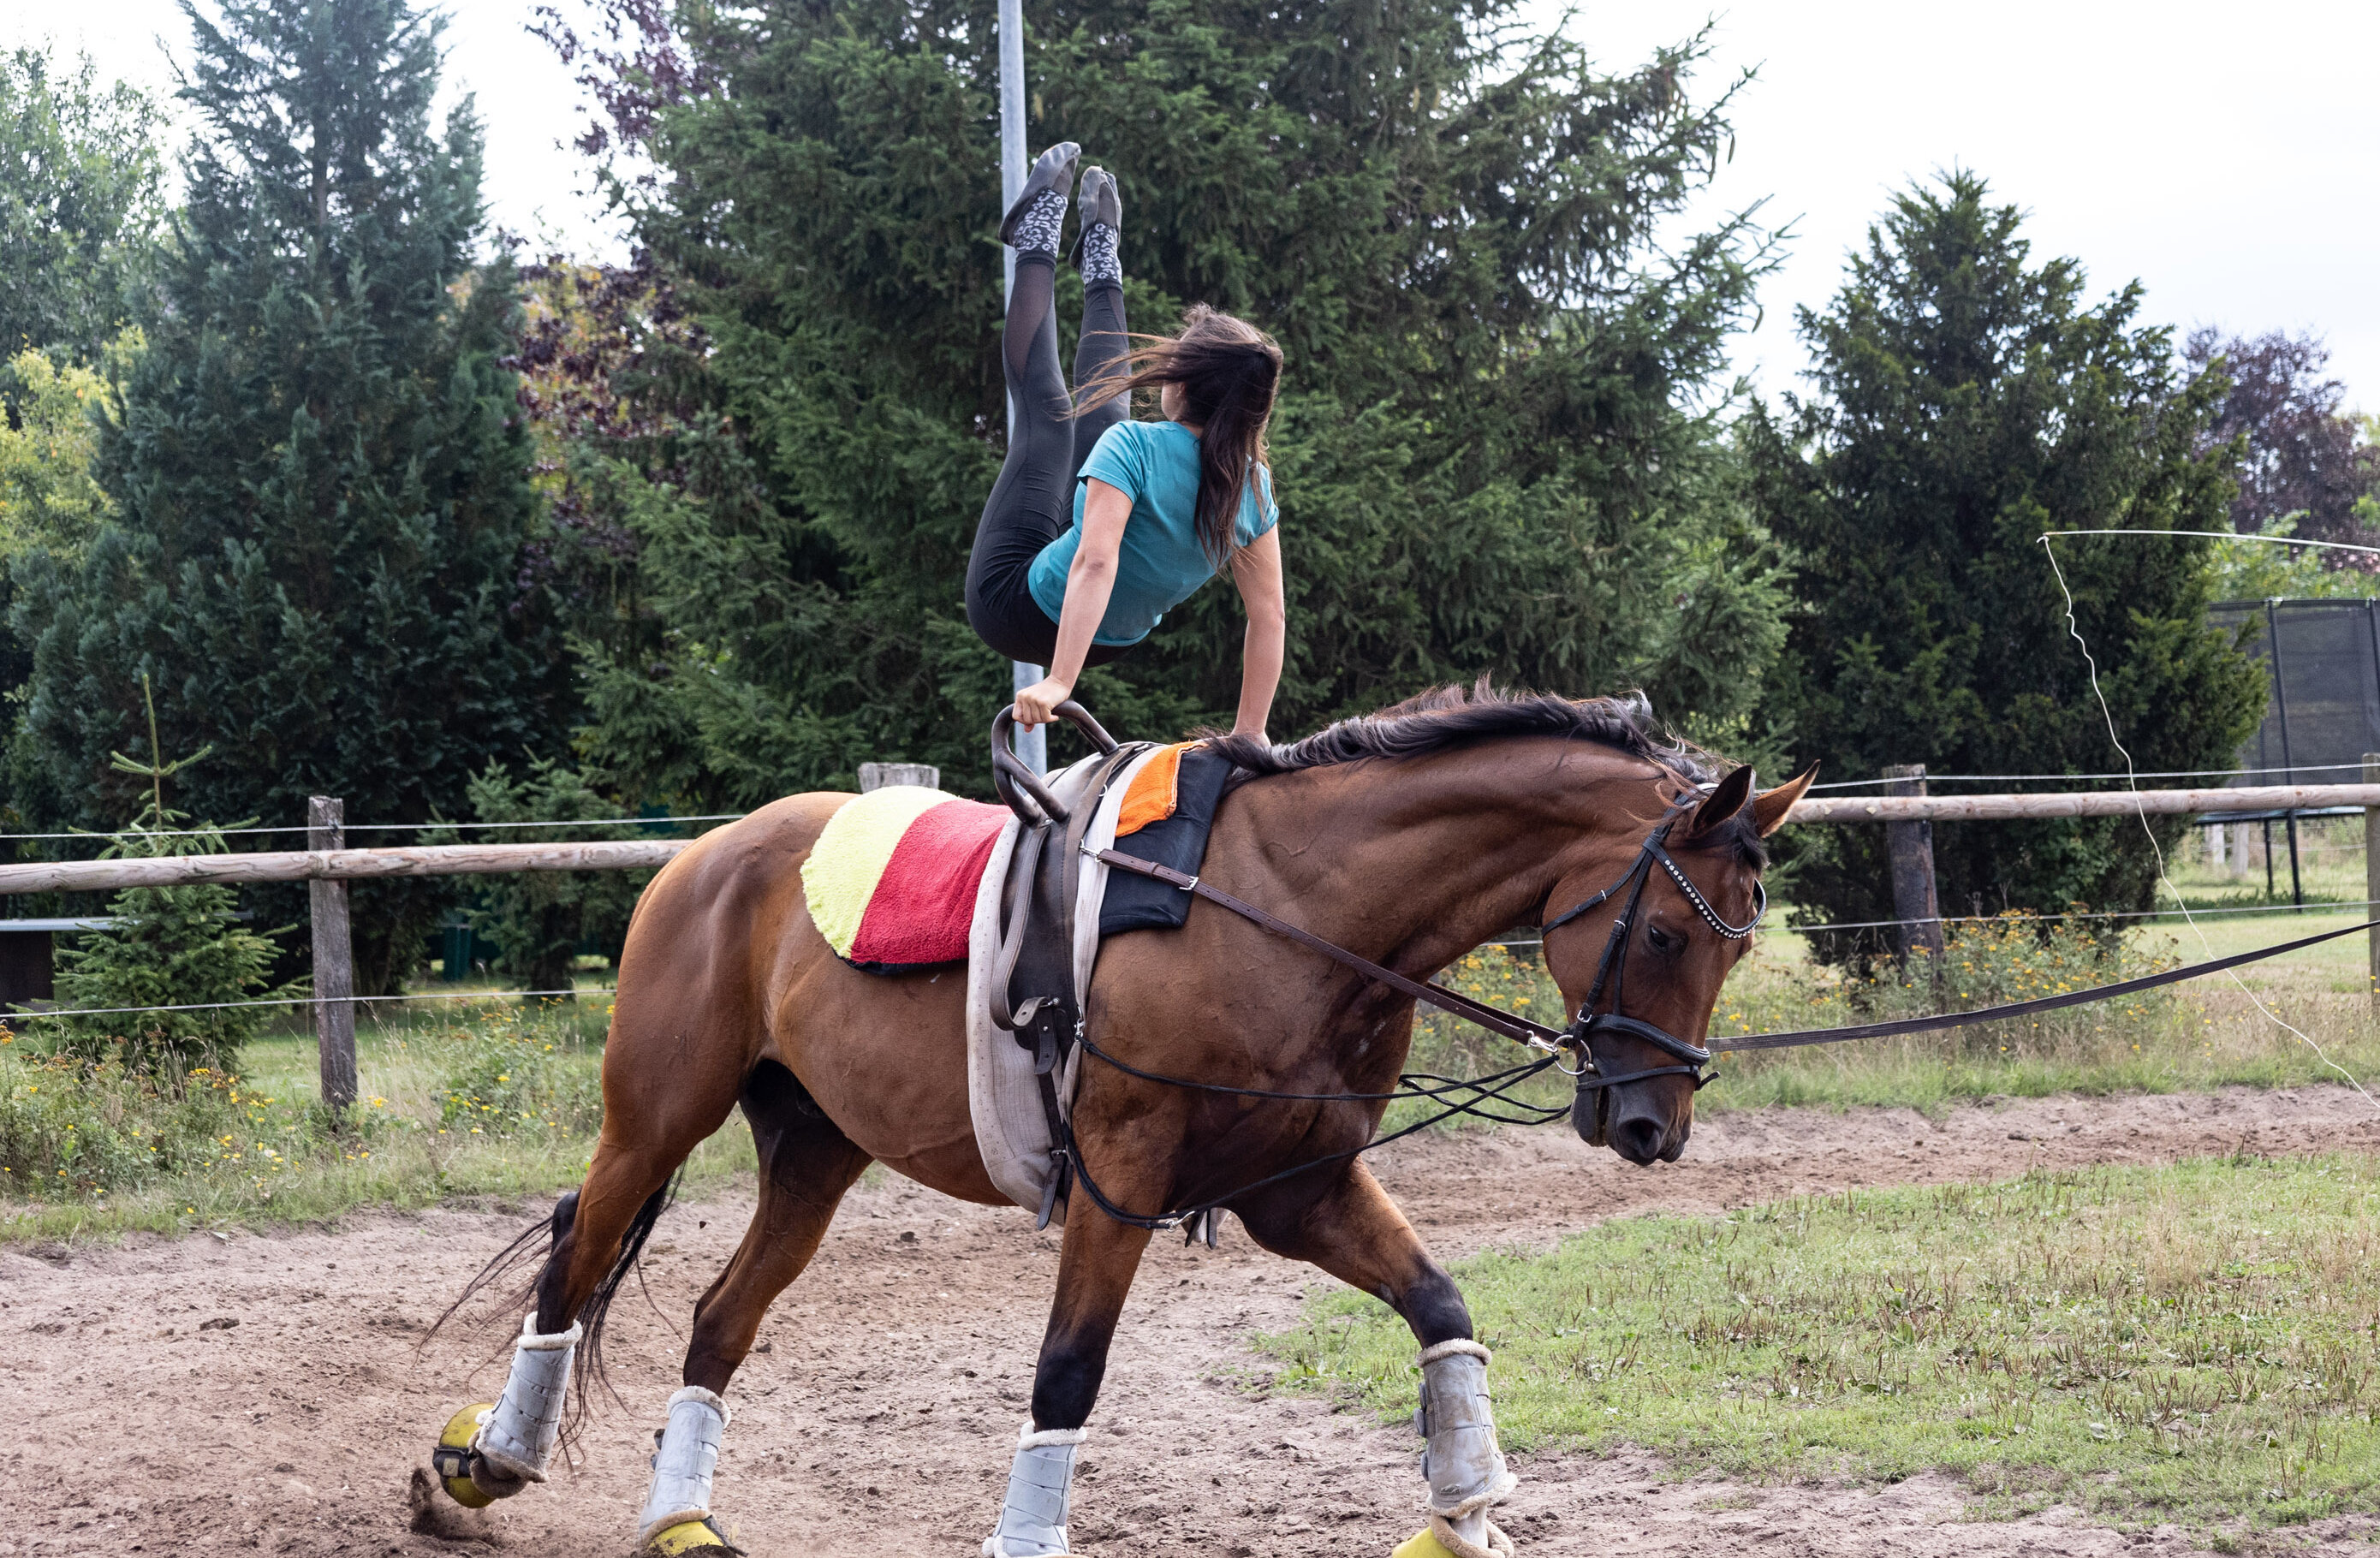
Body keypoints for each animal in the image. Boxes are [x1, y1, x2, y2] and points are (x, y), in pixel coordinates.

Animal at [432, 689, 1799, 1550]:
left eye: (1737, 943)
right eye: (1664, 932)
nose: (1653, 1128)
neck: (1288, 908)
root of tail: (706, 853)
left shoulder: (1299, 1186)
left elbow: (1440, 1307)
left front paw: (1464, 1509)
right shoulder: (1121, 1175)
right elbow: (1068, 1370)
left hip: (817, 1152)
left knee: (718, 1318)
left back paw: (677, 1518)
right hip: (656, 1120)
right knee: (576, 1261)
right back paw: (492, 1456)